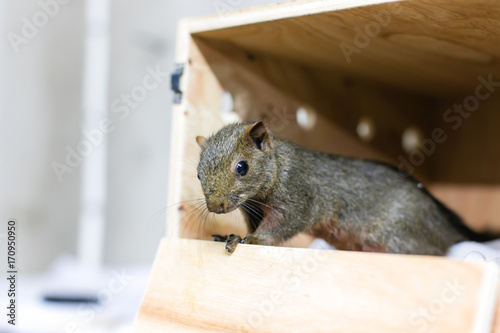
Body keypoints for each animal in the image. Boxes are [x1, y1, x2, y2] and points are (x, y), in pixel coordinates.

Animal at [195, 121, 496, 254]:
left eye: (242, 167)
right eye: (198, 174)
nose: (216, 207)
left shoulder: (298, 195)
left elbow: (284, 224)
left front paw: (253, 239)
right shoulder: (253, 209)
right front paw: (231, 235)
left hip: (400, 234)